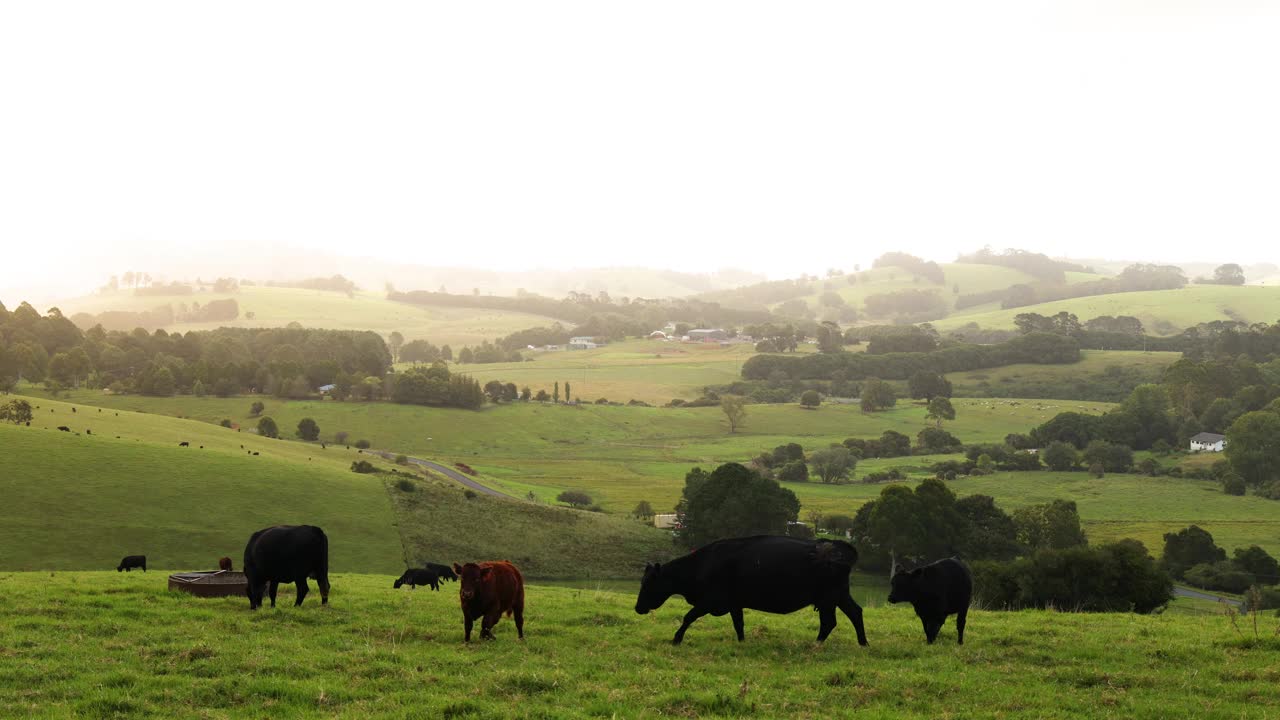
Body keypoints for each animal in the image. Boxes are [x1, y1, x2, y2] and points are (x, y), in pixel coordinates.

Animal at [632, 532, 865, 645]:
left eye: (648, 583)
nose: (637, 608)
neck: (701, 565)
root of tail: (838, 546)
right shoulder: (734, 603)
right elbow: (739, 624)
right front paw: (742, 642)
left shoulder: (710, 600)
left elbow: (688, 617)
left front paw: (676, 639)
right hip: (838, 596)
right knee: (853, 613)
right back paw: (862, 643)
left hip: (829, 598)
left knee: (830, 621)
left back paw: (817, 644)